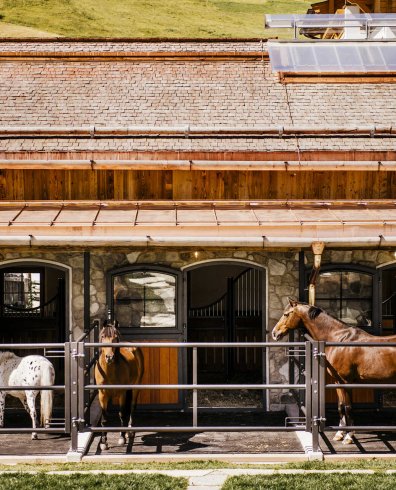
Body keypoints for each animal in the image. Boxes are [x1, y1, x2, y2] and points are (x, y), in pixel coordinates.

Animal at [94, 322, 144, 452]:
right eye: (102, 337)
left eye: (115, 337)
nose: (109, 357)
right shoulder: (102, 394)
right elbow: (104, 418)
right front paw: (103, 443)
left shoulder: (122, 393)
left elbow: (122, 414)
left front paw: (121, 438)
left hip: (136, 387)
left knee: (131, 407)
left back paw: (129, 431)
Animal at [274, 298, 396, 444]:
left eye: (286, 314)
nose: (274, 333)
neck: (339, 339)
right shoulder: (337, 381)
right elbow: (340, 406)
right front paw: (340, 433)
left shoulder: (346, 381)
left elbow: (348, 407)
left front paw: (349, 436)